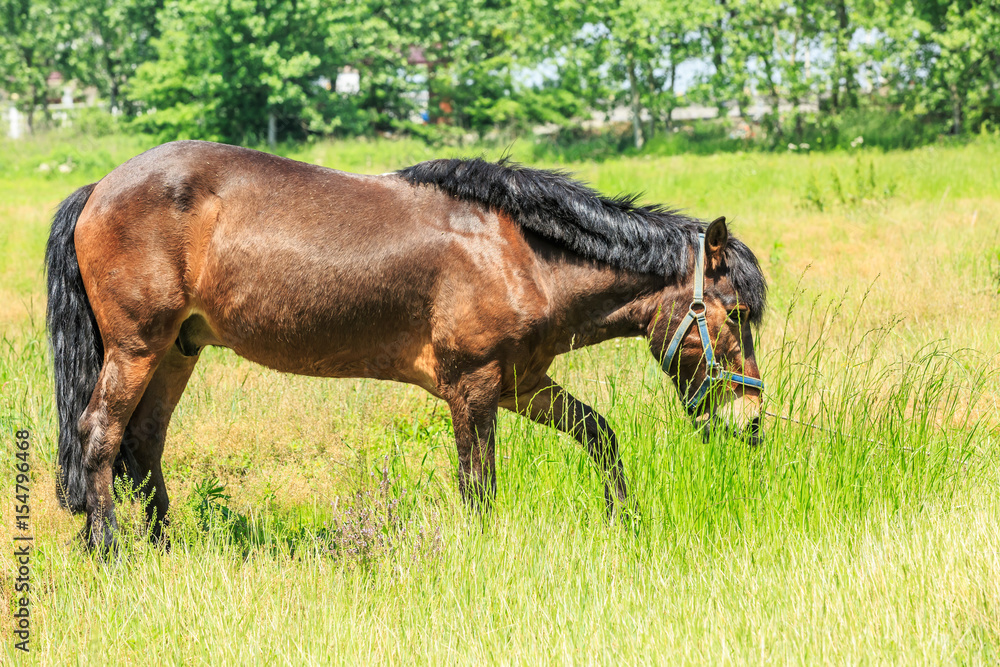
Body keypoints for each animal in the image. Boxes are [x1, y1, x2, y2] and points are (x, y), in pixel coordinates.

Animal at [47, 140, 764, 548]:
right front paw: (482, 551)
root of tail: (99, 188)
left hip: (178, 349)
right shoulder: (473, 386)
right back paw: (109, 548)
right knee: (101, 433)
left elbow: (598, 433)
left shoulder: (521, 384)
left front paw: (624, 519)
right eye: (736, 313)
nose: (752, 421)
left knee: (143, 442)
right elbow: (479, 482)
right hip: (137, 345)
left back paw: (165, 547)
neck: (522, 256)